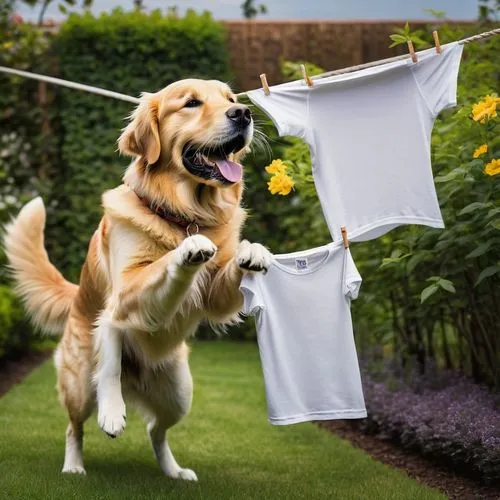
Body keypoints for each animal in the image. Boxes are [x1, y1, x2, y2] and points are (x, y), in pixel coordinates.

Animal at [3, 79, 272, 480]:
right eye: (191, 103)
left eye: (230, 99)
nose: (243, 113)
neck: (184, 213)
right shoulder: (127, 289)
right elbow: (162, 268)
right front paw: (188, 248)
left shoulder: (214, 297)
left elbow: (225, 272)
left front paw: (252, 251)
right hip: (80, 384)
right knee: (79, 416)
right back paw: (81, 454)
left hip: (179, 394)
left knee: (155, 430)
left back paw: (174, 471)